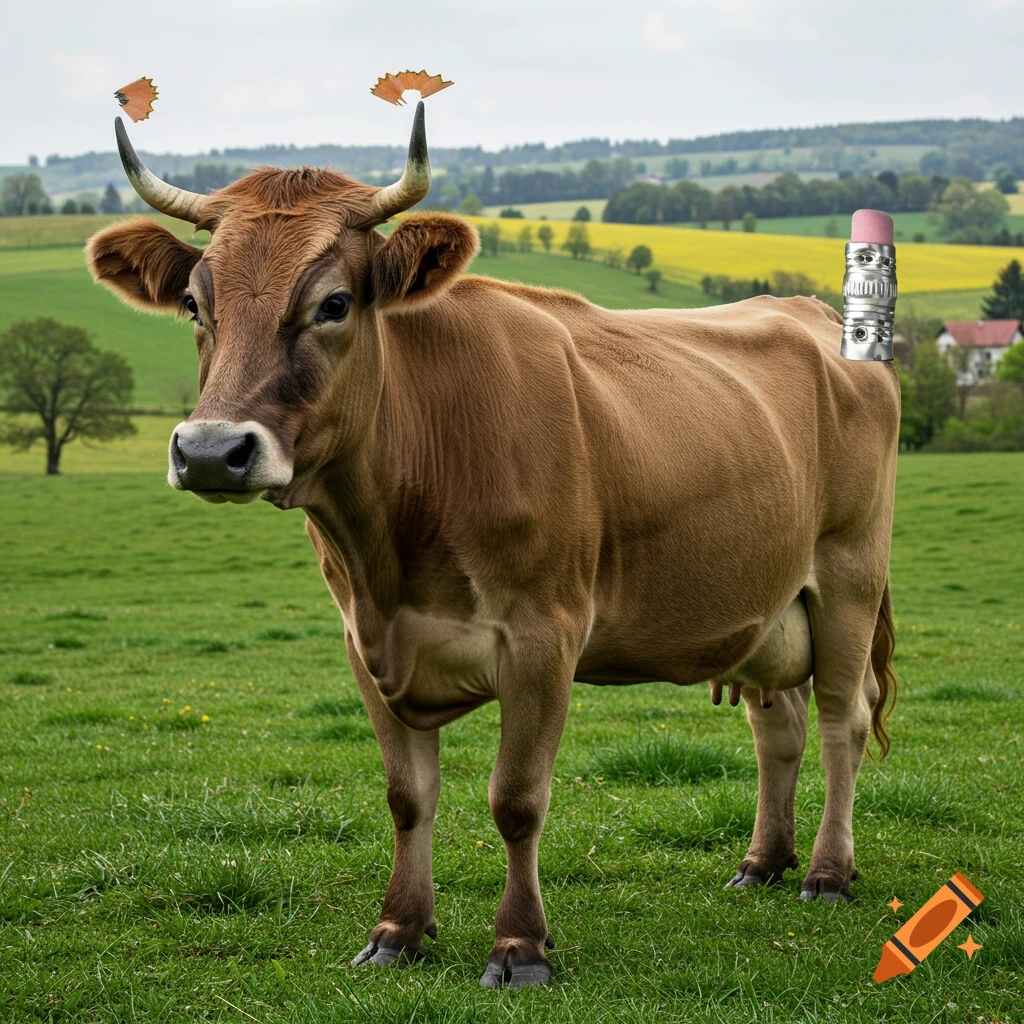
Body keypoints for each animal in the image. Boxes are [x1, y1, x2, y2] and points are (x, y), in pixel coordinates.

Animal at [86, 103, 899, 989]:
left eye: (334, 303)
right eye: (193, 305)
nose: (209, 451)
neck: (393, 547)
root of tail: (816, 315)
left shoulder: (546, 636)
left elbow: (516, 799)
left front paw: (520, 945)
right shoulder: (365, 642)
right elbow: (408, 797)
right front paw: (399, 930)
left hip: (849, 577)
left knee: (842, 718)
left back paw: (826, 873)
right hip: (764, 603)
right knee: (778, 721)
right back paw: (763, 862)